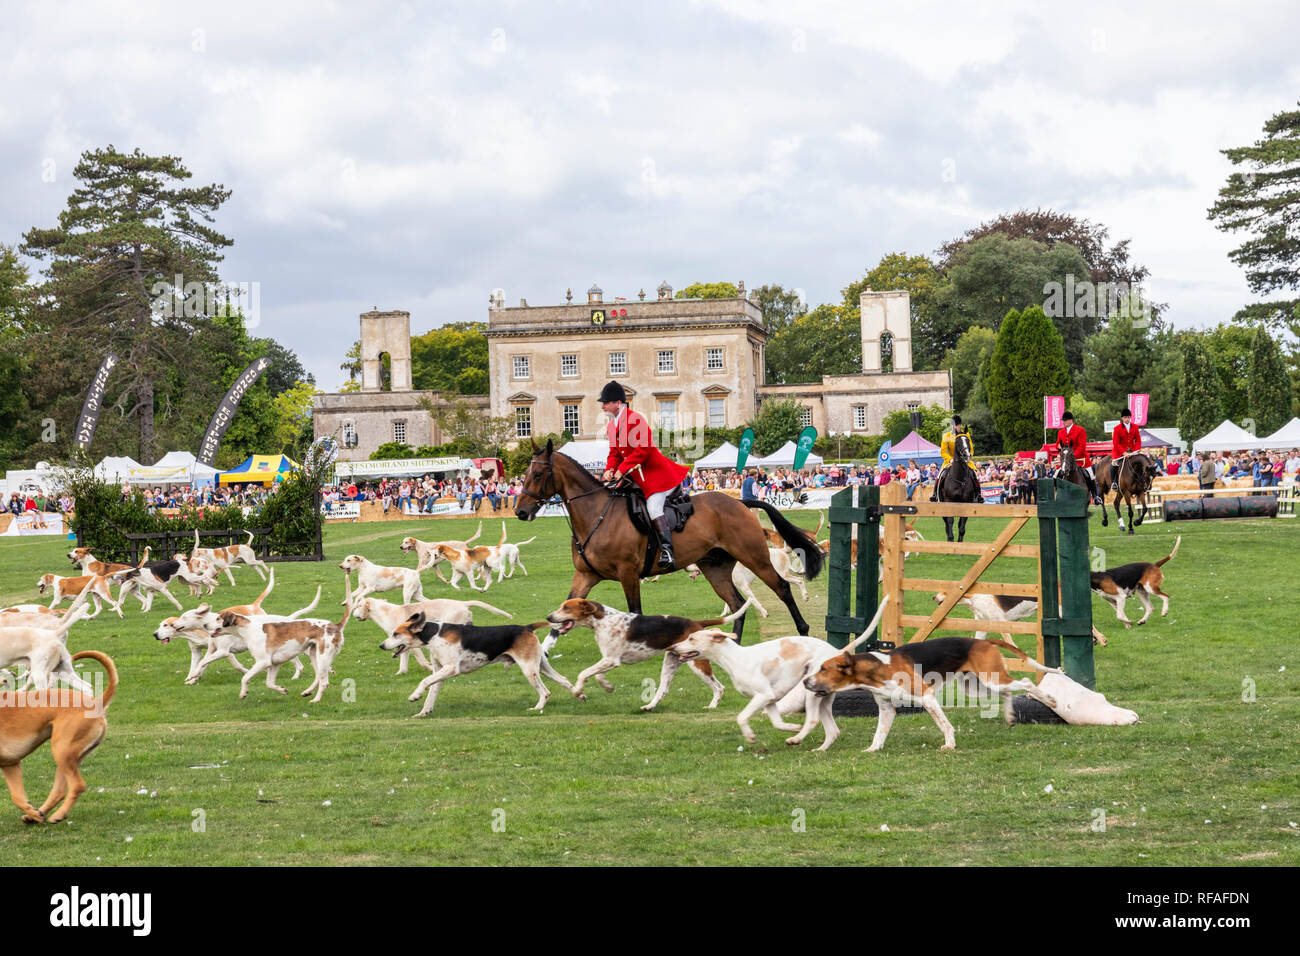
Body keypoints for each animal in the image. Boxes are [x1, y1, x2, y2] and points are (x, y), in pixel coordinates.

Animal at [0, 655, 118, 827]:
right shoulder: (10, 764)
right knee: (59, 791)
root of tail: (96, 703)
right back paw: (38, 814)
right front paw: (33, 813)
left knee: (77, 786)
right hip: (67, 757)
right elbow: (18, 797)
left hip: (61, 751)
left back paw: (58, 815)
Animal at [512, 442, 816, 642]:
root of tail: (739, 502)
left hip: (754, 557)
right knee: (737, 604)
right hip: (715, 567)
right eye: (525, 474)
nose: (520, 512)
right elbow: (564, 611)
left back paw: (803, 630)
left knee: (783, 589)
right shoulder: (586, 575)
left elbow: (635, 612)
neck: (597, 514)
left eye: (537, 474)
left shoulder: (628, 574)